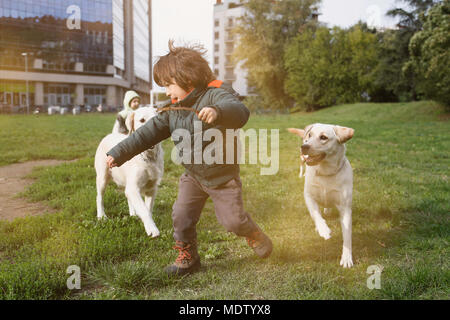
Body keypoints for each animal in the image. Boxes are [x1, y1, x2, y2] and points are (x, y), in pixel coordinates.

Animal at [94, 106, 163, 236]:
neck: (148, 157)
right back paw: (101, 216)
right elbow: (144, 209)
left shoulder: (151, 188)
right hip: (102, 177)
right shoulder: (134, 187)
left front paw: (148, 224)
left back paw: (133, 213)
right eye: (142, 120)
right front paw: (152, 229)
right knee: (99, 197)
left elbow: (147, 209)